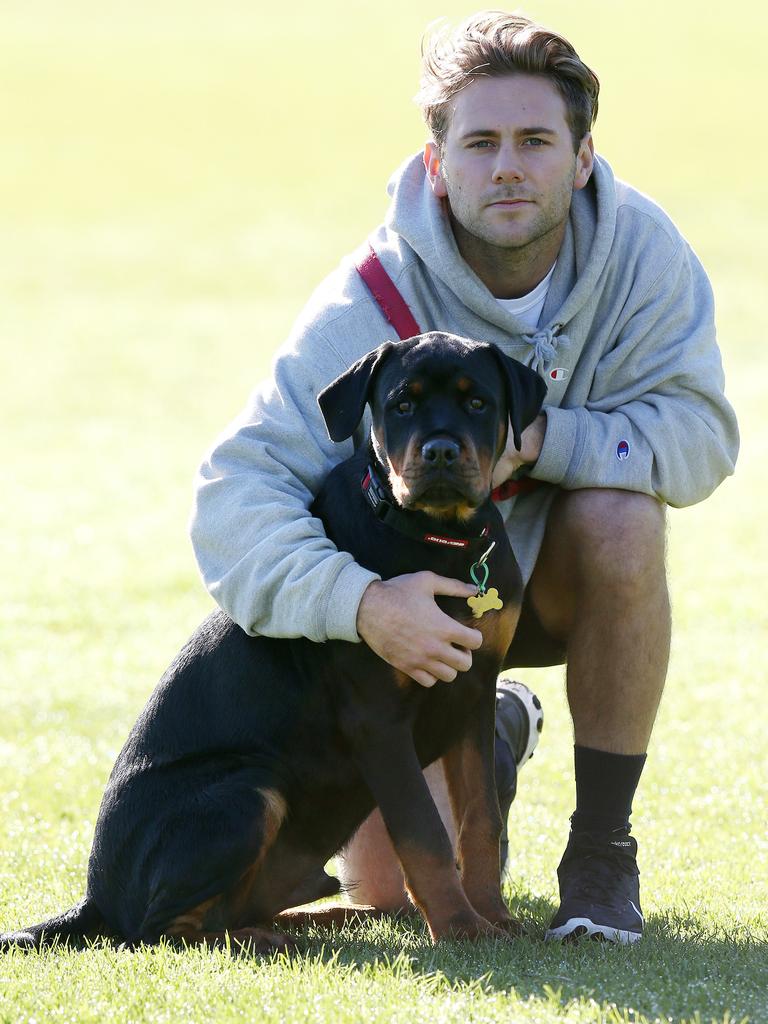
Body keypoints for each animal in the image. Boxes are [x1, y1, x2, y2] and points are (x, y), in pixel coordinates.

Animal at [0, 331, 544, 954]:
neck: (442, 538)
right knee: (161, 933)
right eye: (401, 404)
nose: (440, 453)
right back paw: (277, 940)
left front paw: (494, 918)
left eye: (478, 402)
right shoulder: (378, 716)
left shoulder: (473, 691)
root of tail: (97, 897)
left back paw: (325, 921)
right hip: (246, 792)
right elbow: (424, 832)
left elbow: (481, 817)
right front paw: (460, 929)